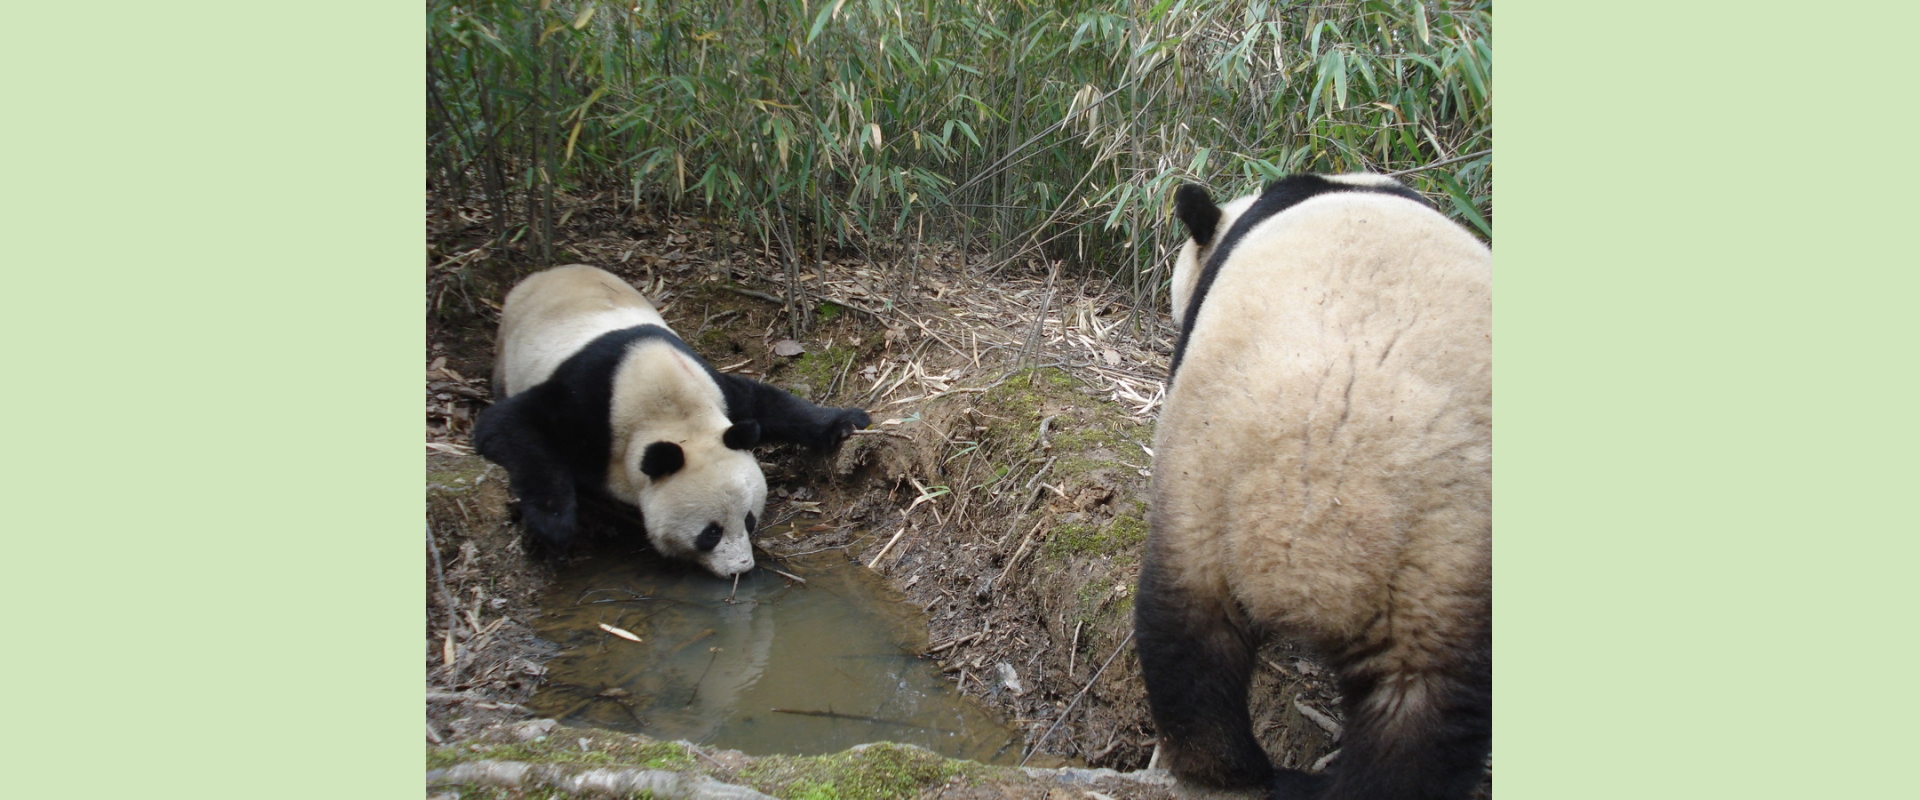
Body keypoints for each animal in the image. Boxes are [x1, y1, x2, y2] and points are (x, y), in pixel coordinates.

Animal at [476, 264, 875, 575]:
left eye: (749, 519)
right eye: (711, 532)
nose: (741, 568)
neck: (667, 407)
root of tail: (546, 272)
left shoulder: (715, 389)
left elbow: (767, 404)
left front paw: (847, 422)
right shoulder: (585, 402)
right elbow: (509, 424)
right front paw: (554, 524)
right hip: (508, 347)